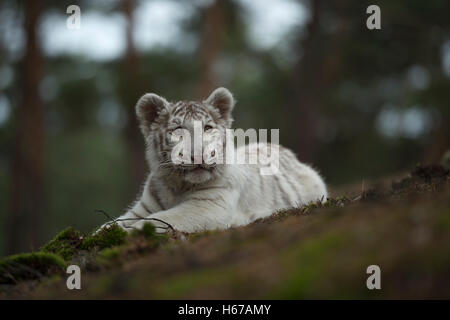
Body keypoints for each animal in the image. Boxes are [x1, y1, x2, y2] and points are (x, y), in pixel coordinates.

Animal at [101, 87, 326, 232]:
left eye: (208, 128)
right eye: (178, 130)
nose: (199, 154)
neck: (178, 186)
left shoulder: (208, 206)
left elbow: (160, 219)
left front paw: (129, 234)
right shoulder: (142, 208)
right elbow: (110, 225)